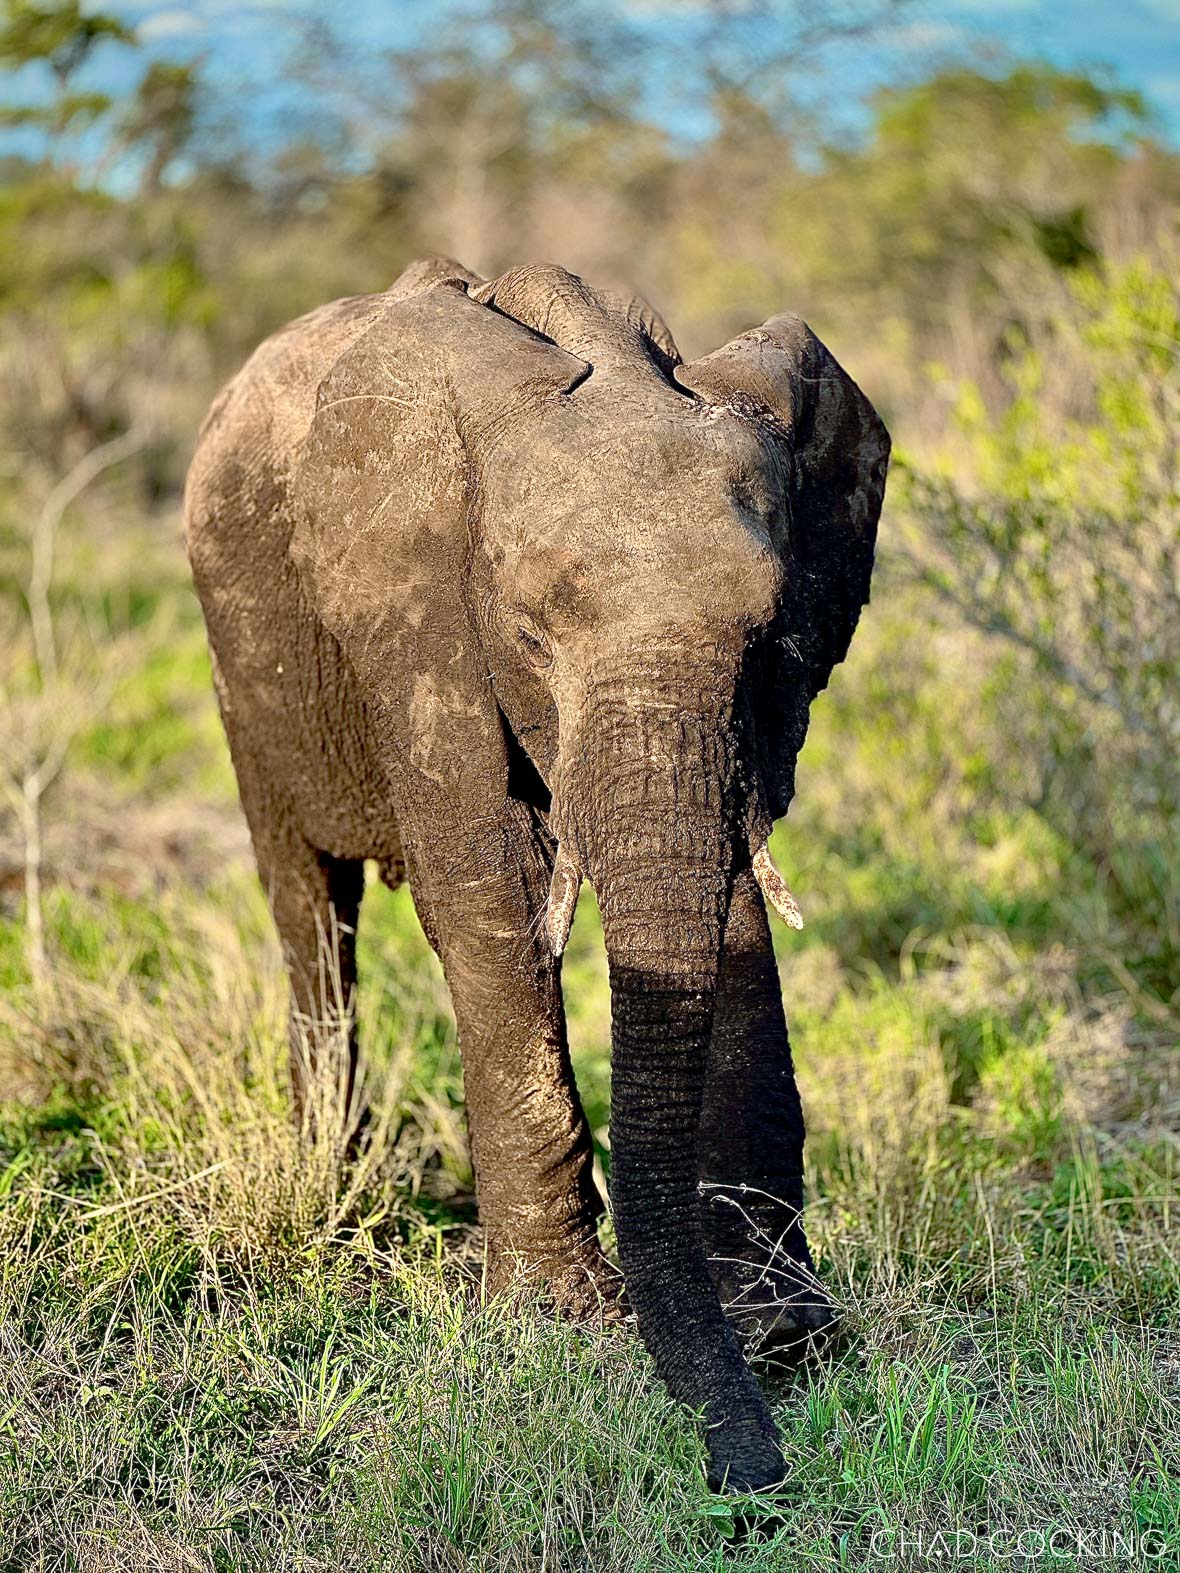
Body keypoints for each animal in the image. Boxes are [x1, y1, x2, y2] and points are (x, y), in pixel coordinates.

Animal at [184, 255, 889, 1493]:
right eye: (528, 635)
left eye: (773, 635)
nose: (757, 1476)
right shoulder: (415, 618)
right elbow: (494, 893)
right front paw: (560, 1321)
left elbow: (731, 897)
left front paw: (782, 1328)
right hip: (242, 666)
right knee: (308, 905)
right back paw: (334, 1196)